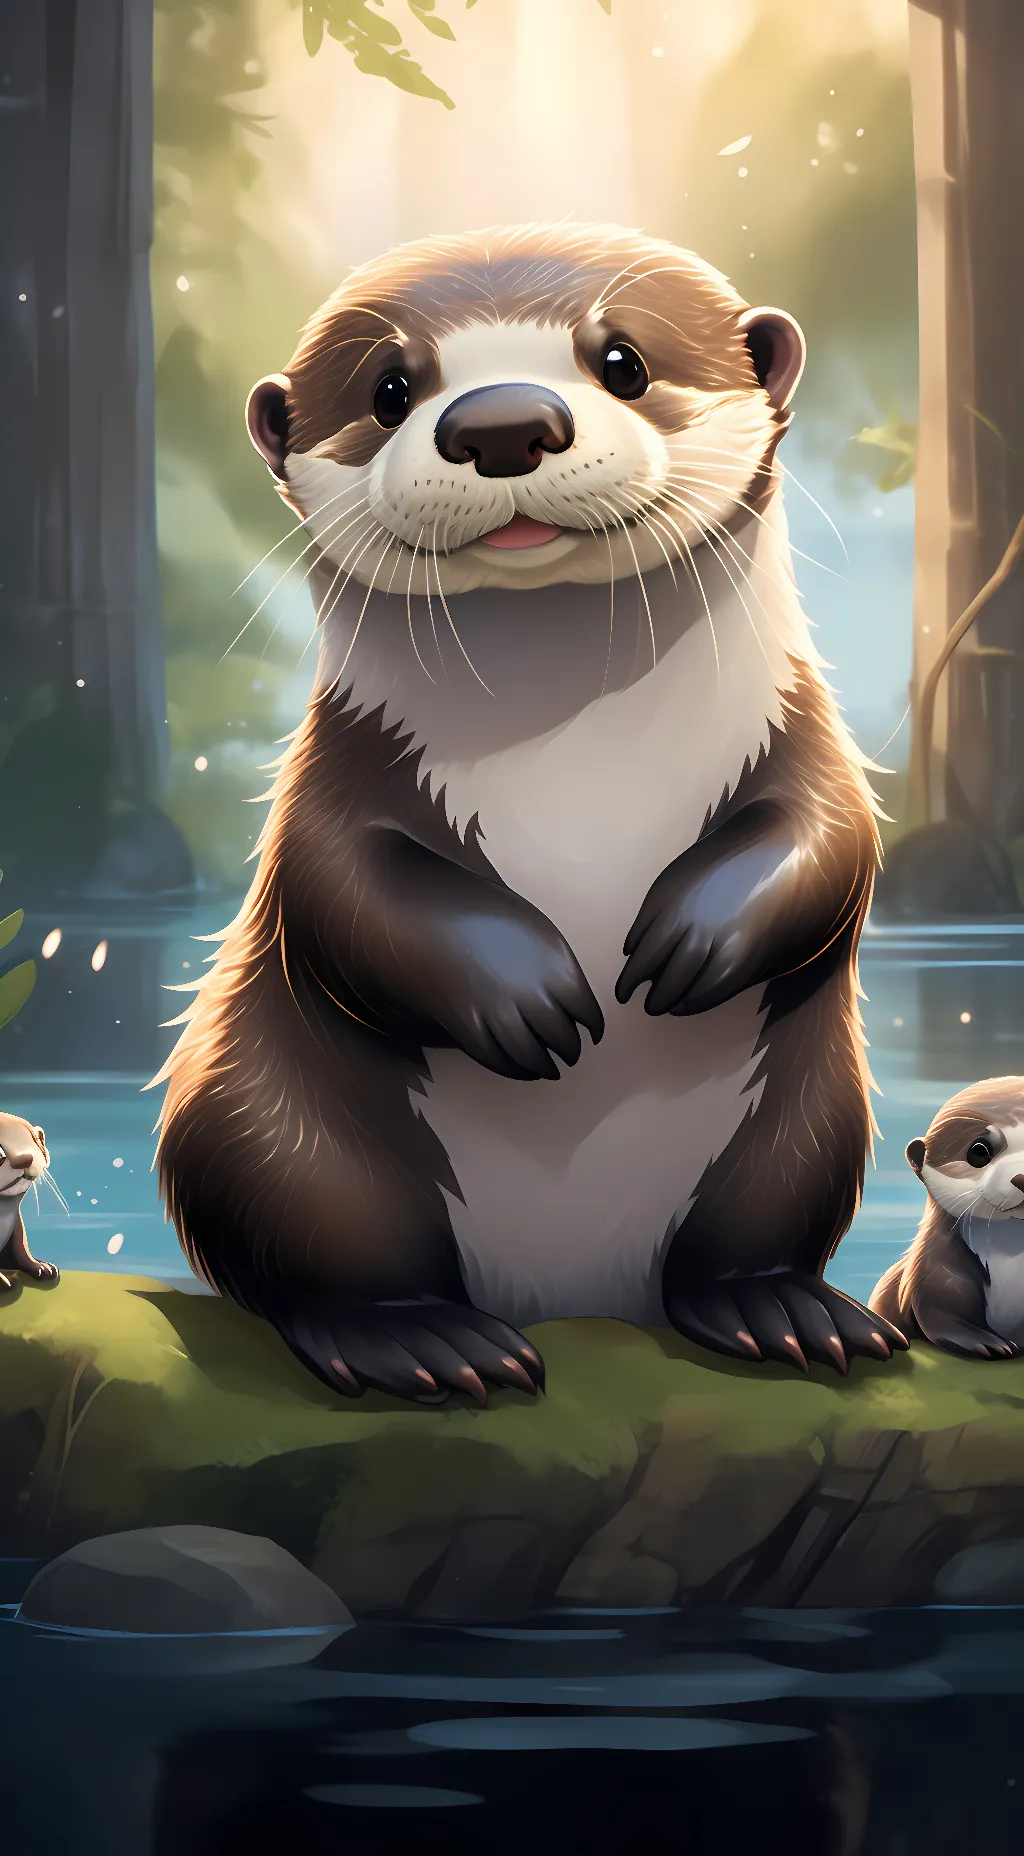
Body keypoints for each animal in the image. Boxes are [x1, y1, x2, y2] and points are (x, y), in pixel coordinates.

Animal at [0, 1112, 58, 1290]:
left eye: (33, 1139)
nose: (25, 1158)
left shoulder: (16, 1227)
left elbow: (21, 1248)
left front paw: (42, 1267)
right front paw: (2, 1281)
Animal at [155, 221, 906, 1402]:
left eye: (624, 360)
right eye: (389, 388)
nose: (502, 421)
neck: (575, 755)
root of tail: (572, 1291)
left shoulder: (802, 733)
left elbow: (833, 834)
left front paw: (691, 941)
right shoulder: (337, 774)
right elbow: (343, 881)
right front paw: (527, 995)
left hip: (804, 1124)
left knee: (747, 1239)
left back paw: (779, 1308)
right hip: (267, 1122)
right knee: (320, 1251)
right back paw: (418, 1339)